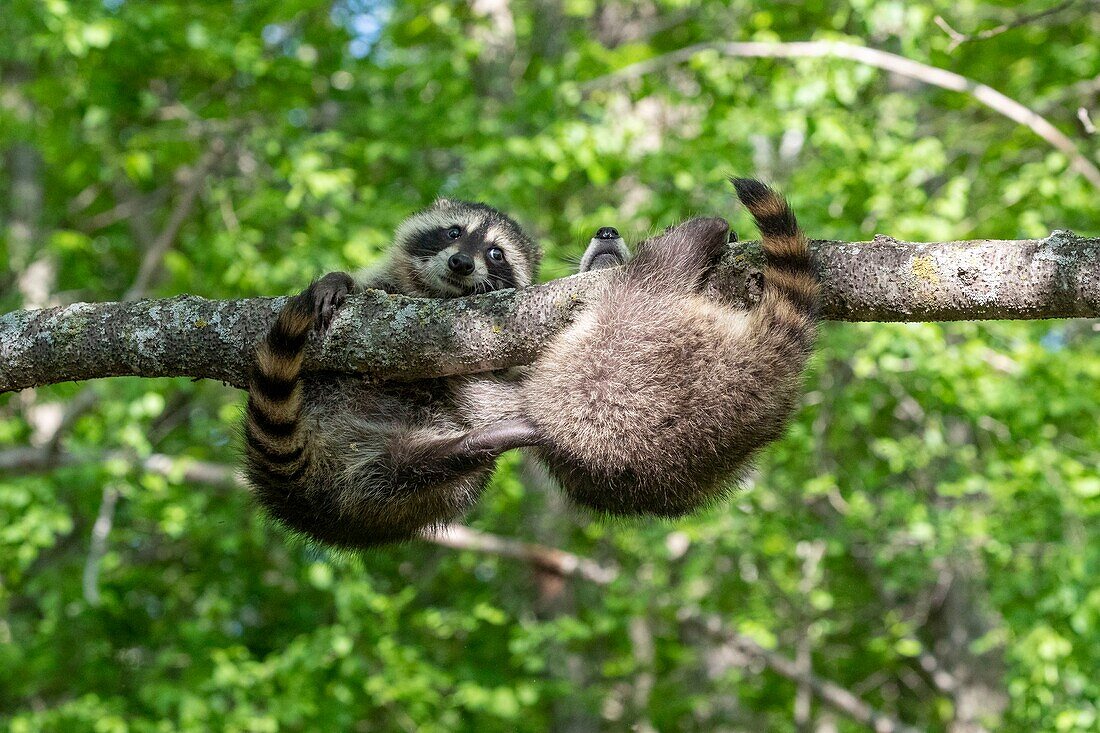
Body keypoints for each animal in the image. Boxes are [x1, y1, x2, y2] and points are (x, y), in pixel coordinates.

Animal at [246, 197, 545, 545]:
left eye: (496, 253)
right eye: (453, 232)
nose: (460, 263)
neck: (439, 294)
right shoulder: (385, 283)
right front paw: (338, 279)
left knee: (428, 469)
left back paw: (477, 442)